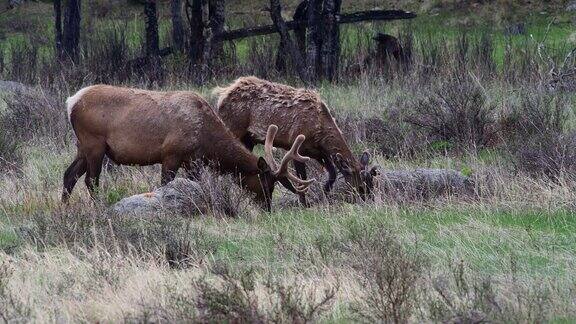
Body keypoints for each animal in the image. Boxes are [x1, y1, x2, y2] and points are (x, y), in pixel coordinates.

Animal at [62, 84, 316, 210]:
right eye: (266, 182)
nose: (267, 207)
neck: (207, 139)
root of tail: (71, 102)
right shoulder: (171, 154)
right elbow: (164, 185)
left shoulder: (193, 161)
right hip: (94, 142)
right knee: (90, 180)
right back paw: (98, 208)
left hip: (82, 146)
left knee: (69, 175)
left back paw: (64, 209)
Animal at [212, 76, 378, 205]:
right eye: (360, 186)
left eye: (371, 184)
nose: (369, 201)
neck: (319, 130)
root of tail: (222, 94)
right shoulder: (296, 145)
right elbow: (302, 178)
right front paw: (304, 203)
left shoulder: (319, 153)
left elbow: (332, 174)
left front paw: (323, 194)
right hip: (233, 127)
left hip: (249, 139)